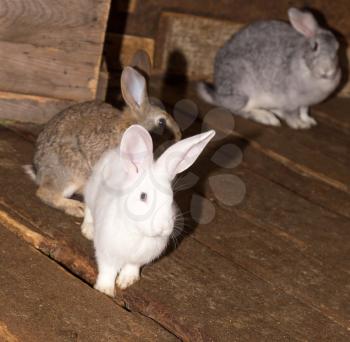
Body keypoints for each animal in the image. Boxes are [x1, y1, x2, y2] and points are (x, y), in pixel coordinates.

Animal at [26, 50, 182, 216]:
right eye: (162, 122)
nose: (179, 137)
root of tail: (39, 171)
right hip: (73, 173)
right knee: (46, 193)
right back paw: (76, 207)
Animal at [82, 124, 215, 296]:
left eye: (171, 198)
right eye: (143, 196)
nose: (163, 227)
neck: (140, 234)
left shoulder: (138, 260)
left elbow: (131, 267)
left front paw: (126, 281)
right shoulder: (107, 253)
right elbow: (108, 271)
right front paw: (105, 290)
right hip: (91, 190)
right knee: (88, 209)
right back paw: (88, 230)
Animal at [200, 7, 342, 128]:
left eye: (337, 49)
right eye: (315, 46)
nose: (327, 71)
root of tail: (218, 95)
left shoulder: (304, 103)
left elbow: (304, 112)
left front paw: (309, 121)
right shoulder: (290, 101)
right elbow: (292, 114)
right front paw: (299, 125)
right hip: (244, 93)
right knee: (239, 110)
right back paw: (267, 118)